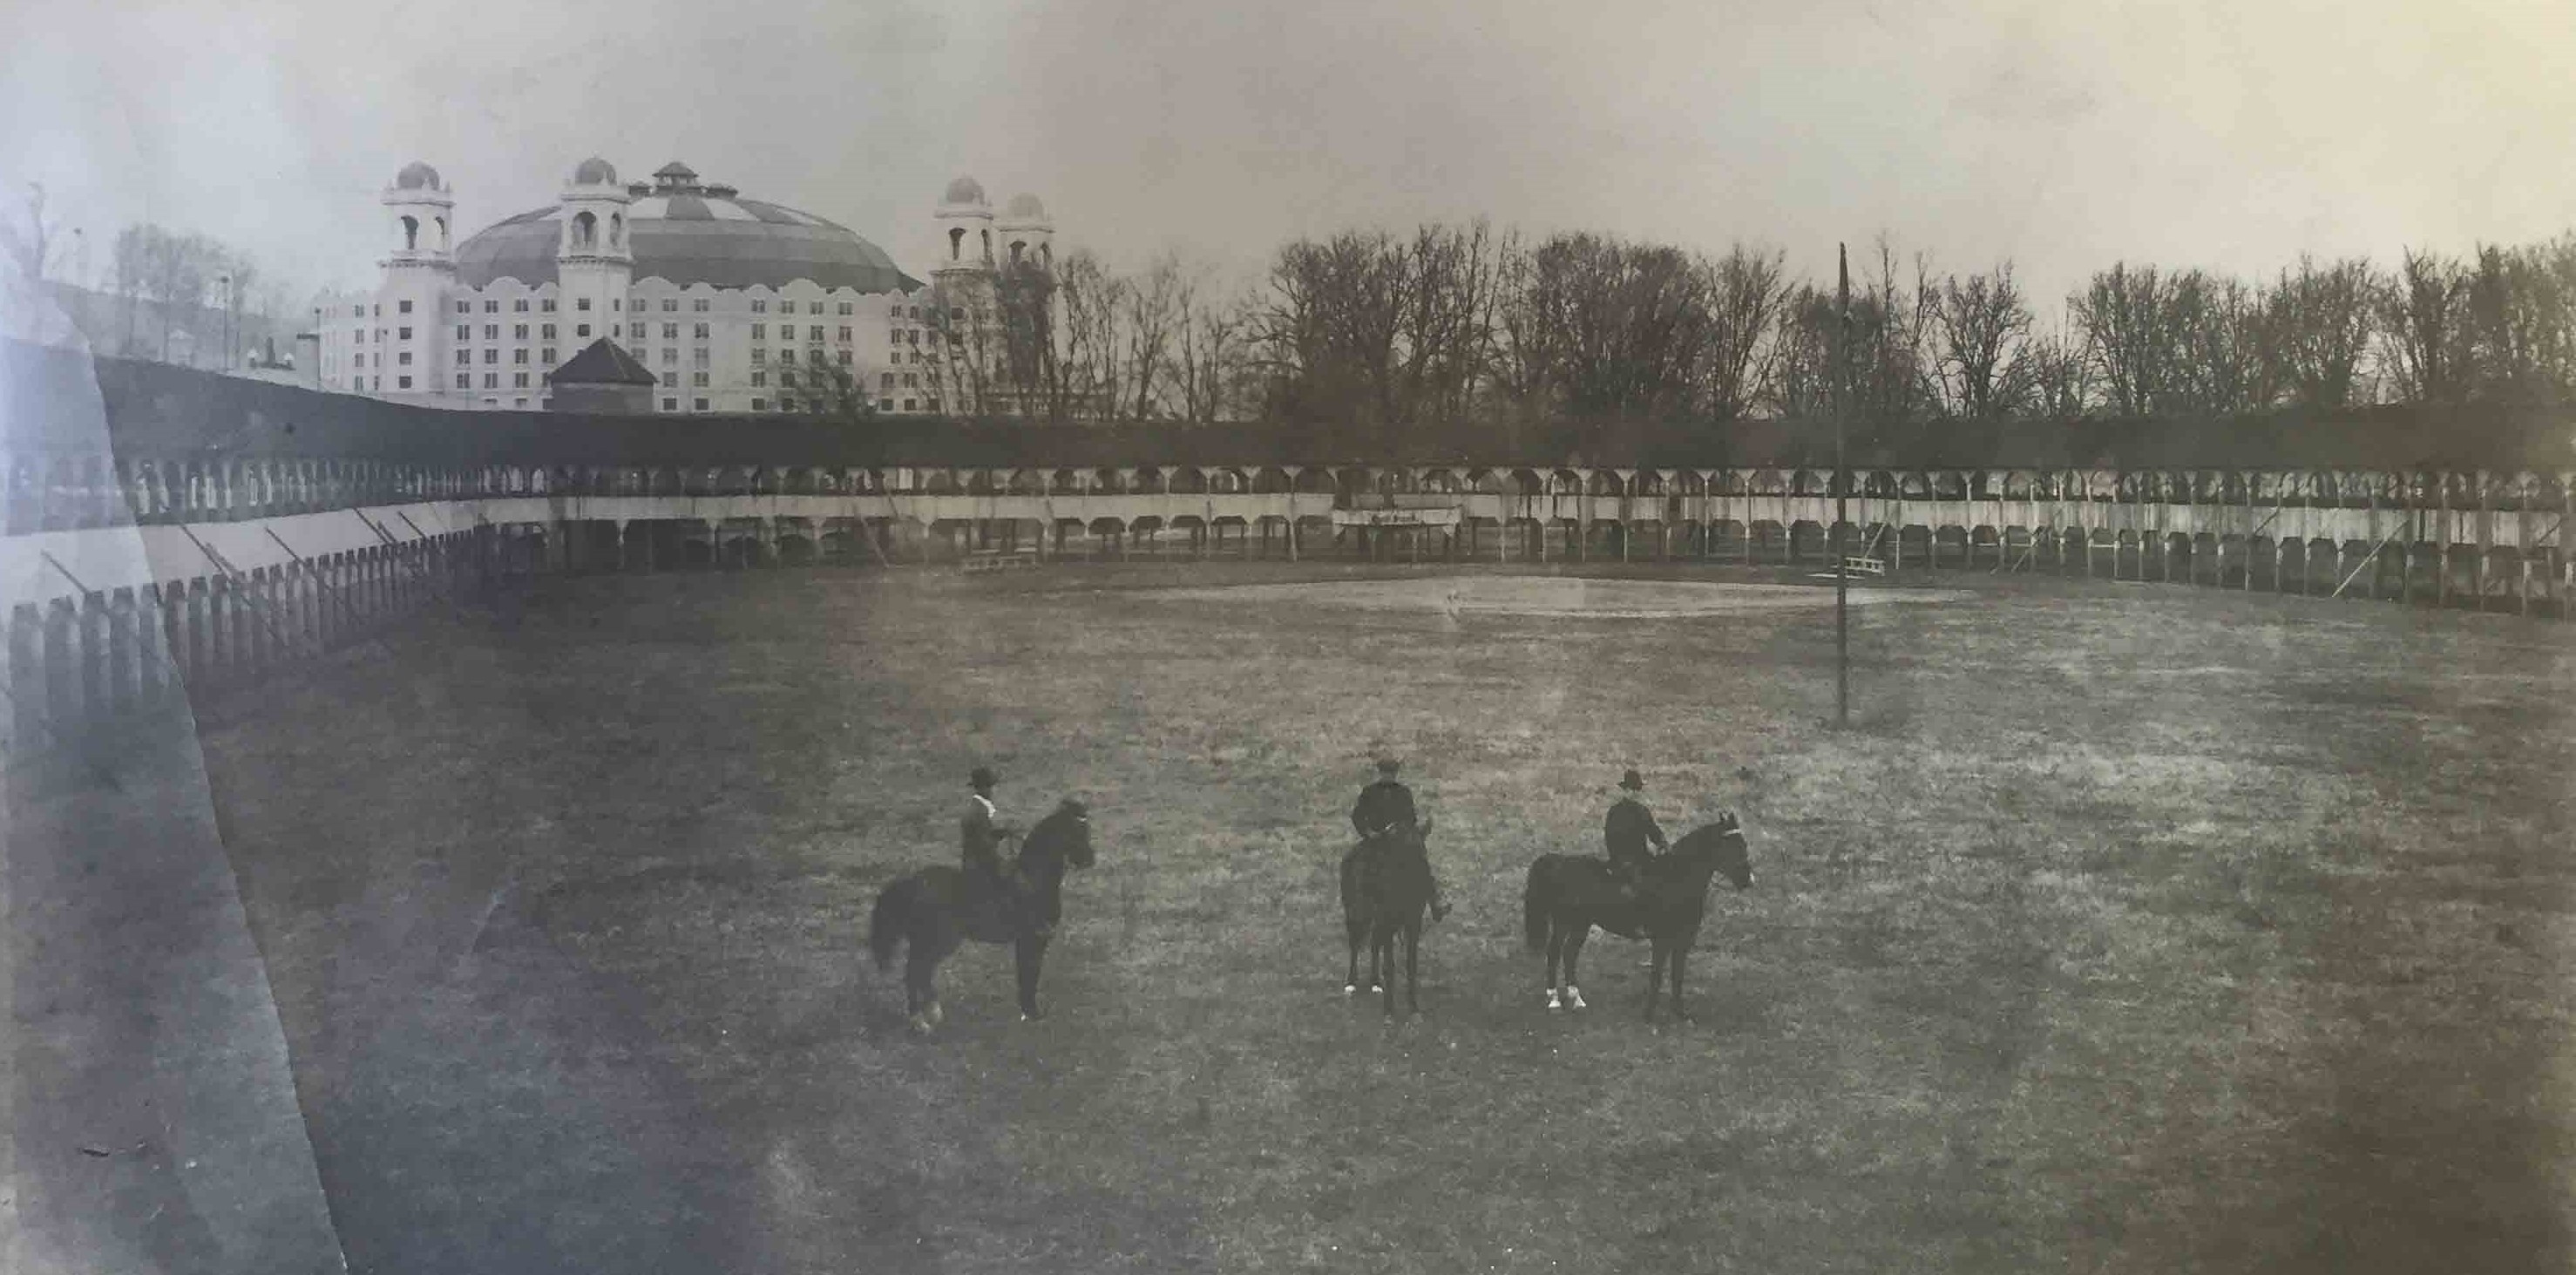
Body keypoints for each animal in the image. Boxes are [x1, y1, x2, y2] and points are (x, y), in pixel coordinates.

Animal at [871, 804, 1092, 1035]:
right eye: (1077, 831)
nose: (1089, 860)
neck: (1033, 881)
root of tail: (913, 883)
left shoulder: (1027, 941)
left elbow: (1027, 974)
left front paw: (1027, 1012)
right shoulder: (1034, 939)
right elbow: (1030, 974)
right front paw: (1033, 1013)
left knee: (920, 973)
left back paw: (931, 1014)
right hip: (935, 942)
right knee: (914, 973)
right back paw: (920, 1021)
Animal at [1339, 818, 1442, 1020]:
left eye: (1423, 851)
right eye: (1402, 851)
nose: (1422, 882)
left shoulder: (1413, 923)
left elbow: (1411, 964)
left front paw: (1413, 1009)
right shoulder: (1387, 922)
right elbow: (1389, 966)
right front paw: (1389, 1012)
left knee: (1373, 944)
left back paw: (1375, 983)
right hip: (1357, 915)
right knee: (1355, 944)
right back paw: (1351, 983)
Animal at [1515, 813, 1761, 1025]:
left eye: (1743, 844)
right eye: (1732, 845)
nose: (1748, 880)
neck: (1675, 879)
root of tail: (1558, 862)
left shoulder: (1683, 941)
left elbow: (1677, 976)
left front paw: (1681, 1014)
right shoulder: (1662, 941)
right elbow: (1657, 976)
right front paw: (1649, 1016)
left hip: (1580, 925)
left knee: (1569, 954)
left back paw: (1577, 1000)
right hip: (1563, 923)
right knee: (1554, 953)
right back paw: (1555, 1001)